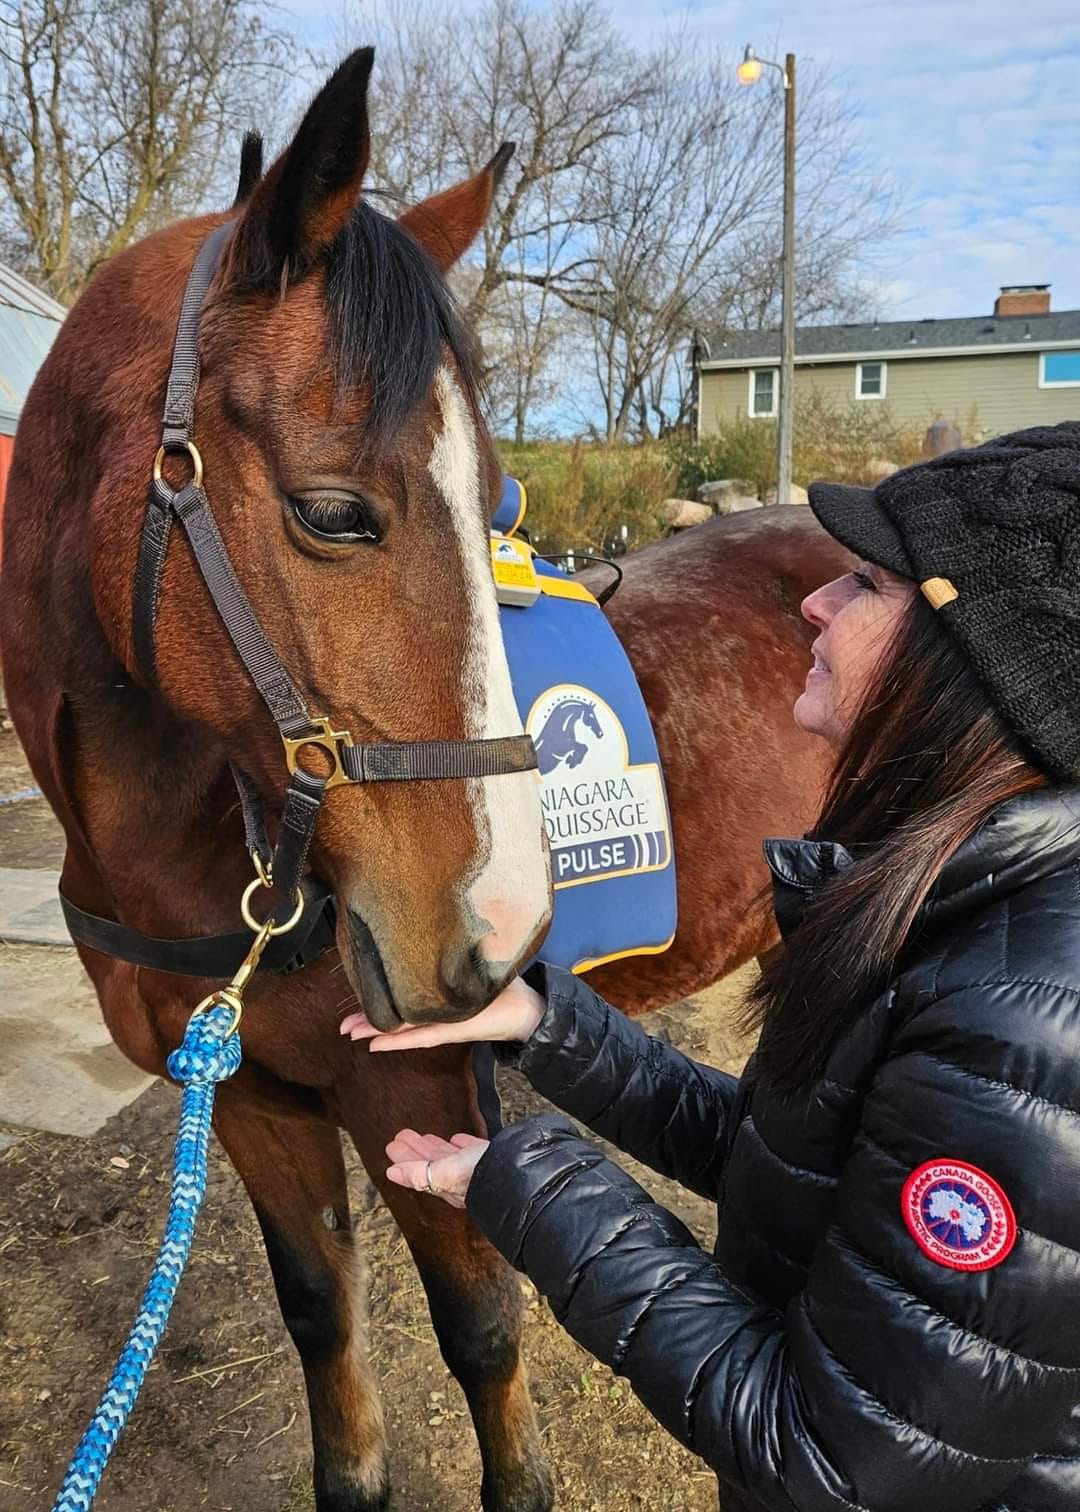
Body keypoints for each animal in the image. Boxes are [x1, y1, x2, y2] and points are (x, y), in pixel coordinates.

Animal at [0, 50, 849, 1512]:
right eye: (337, 513)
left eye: (493, 496)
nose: (498, 936)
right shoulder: (254, 1104)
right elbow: (322, 1327)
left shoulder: (419, 1100)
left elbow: (484, 1338)